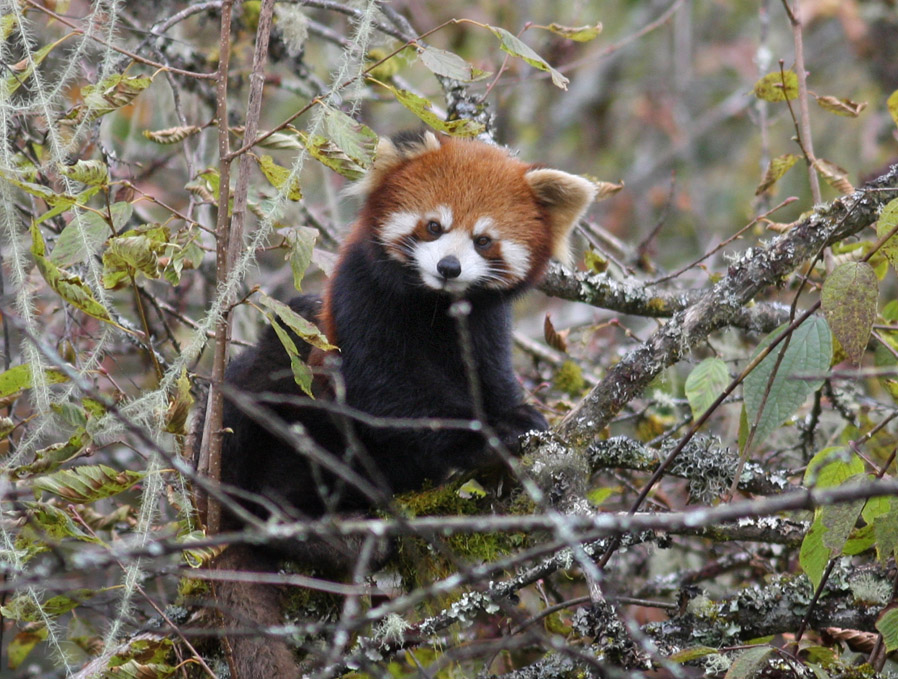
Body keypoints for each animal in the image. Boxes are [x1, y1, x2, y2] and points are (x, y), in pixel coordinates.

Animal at [206, 133, 592, 679]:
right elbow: (387, 394)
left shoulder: (484, 327)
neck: (433, 306)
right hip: (258, 413)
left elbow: (491, 380)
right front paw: (487, 437)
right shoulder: (360, 305)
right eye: (434, 226)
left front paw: (517, 422)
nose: (448, 267)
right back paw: (308, 529)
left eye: (483, 240)